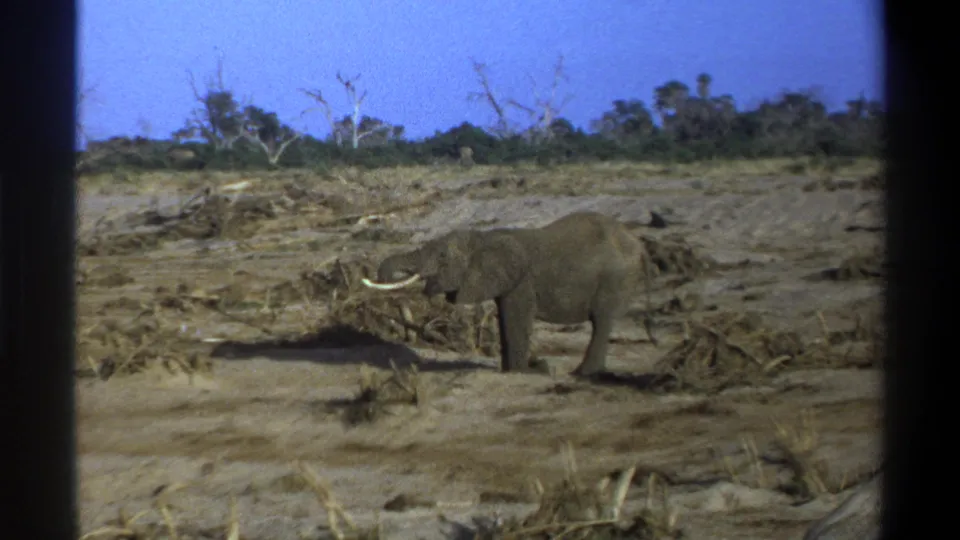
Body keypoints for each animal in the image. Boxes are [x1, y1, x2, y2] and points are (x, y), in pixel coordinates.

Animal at [361, 211, 658, 376]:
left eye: (443, 256)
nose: (379, 275)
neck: (482, 237)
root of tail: (640, 246)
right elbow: (505, 318)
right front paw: (510, 371)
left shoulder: (522, 281)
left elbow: (516, 318)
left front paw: (525, 372)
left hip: (614, 278)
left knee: (601, 321)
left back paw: (582, 374)